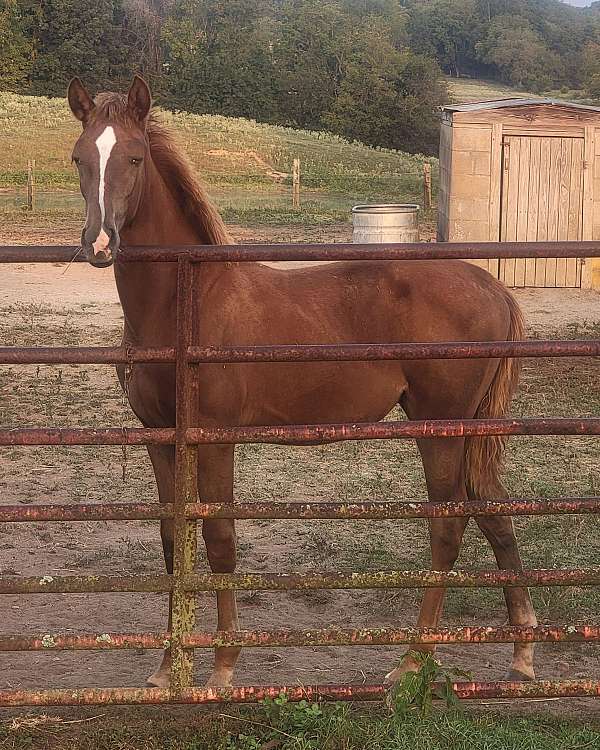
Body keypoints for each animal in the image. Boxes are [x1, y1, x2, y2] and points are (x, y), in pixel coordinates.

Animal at [68, 79, 536, 692]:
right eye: (79, 158)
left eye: (135, 157)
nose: (99, 243)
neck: (187, 304)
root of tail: (494, 287)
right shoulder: (161, 438)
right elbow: (175, 545)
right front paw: (168, 668)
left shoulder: (215, 438)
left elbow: (219, 541)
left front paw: (223, 666)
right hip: (469, 427)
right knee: (495, 512)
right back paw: (522, 653)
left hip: (440, 426)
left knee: (448, 527)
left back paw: (412, 659)